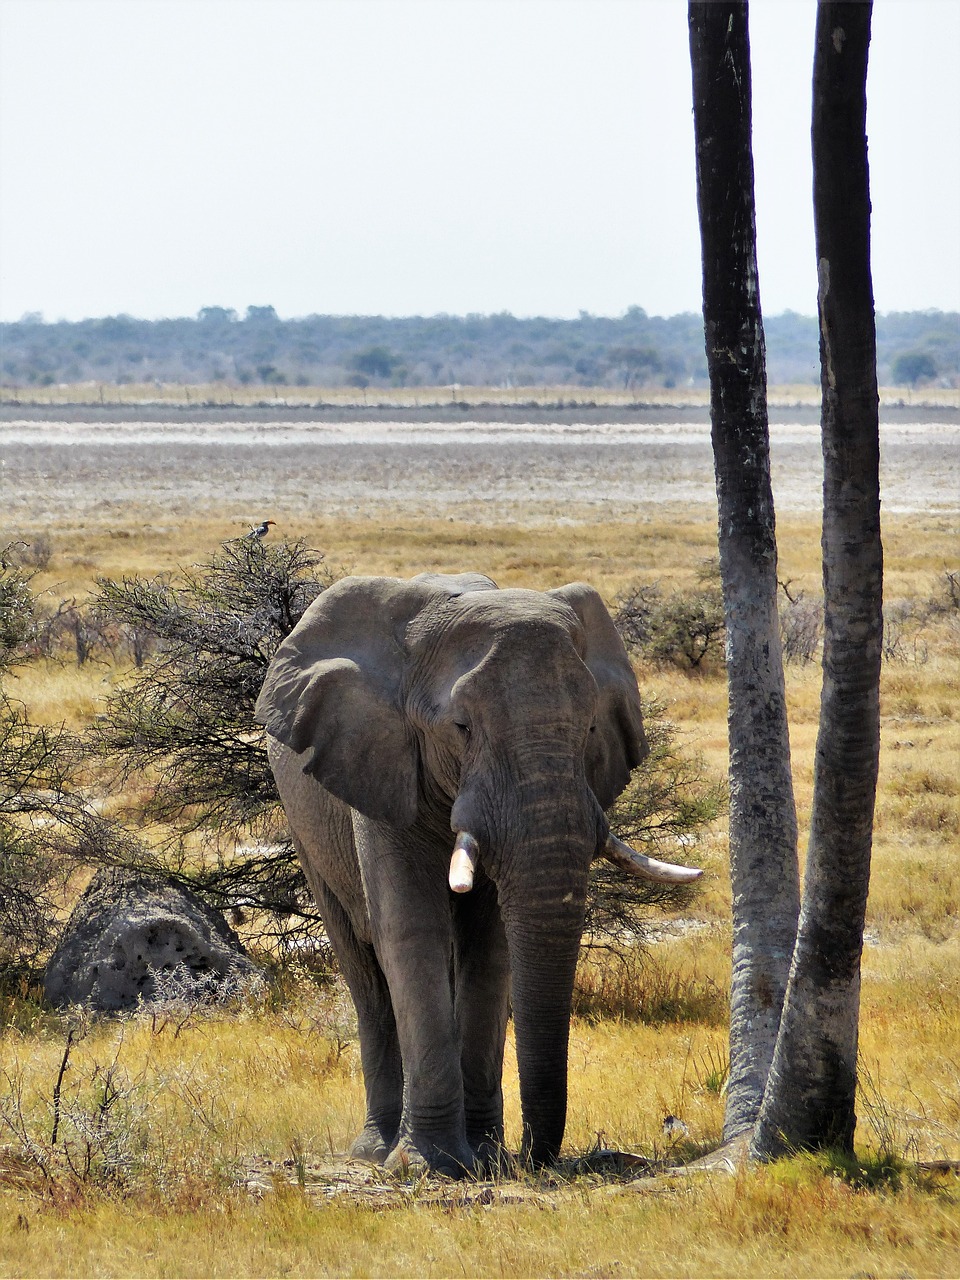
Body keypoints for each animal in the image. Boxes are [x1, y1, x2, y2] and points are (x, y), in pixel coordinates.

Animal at [256, 576, 701, 1172]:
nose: (536, 1159)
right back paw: (375, 1150)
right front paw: (428, 1166)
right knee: (363, 967)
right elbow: (409, 929)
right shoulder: (382, 762)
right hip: (305, 824)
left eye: (590, 727)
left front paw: (486, 1159)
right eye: (461, 728)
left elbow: (490, 945)